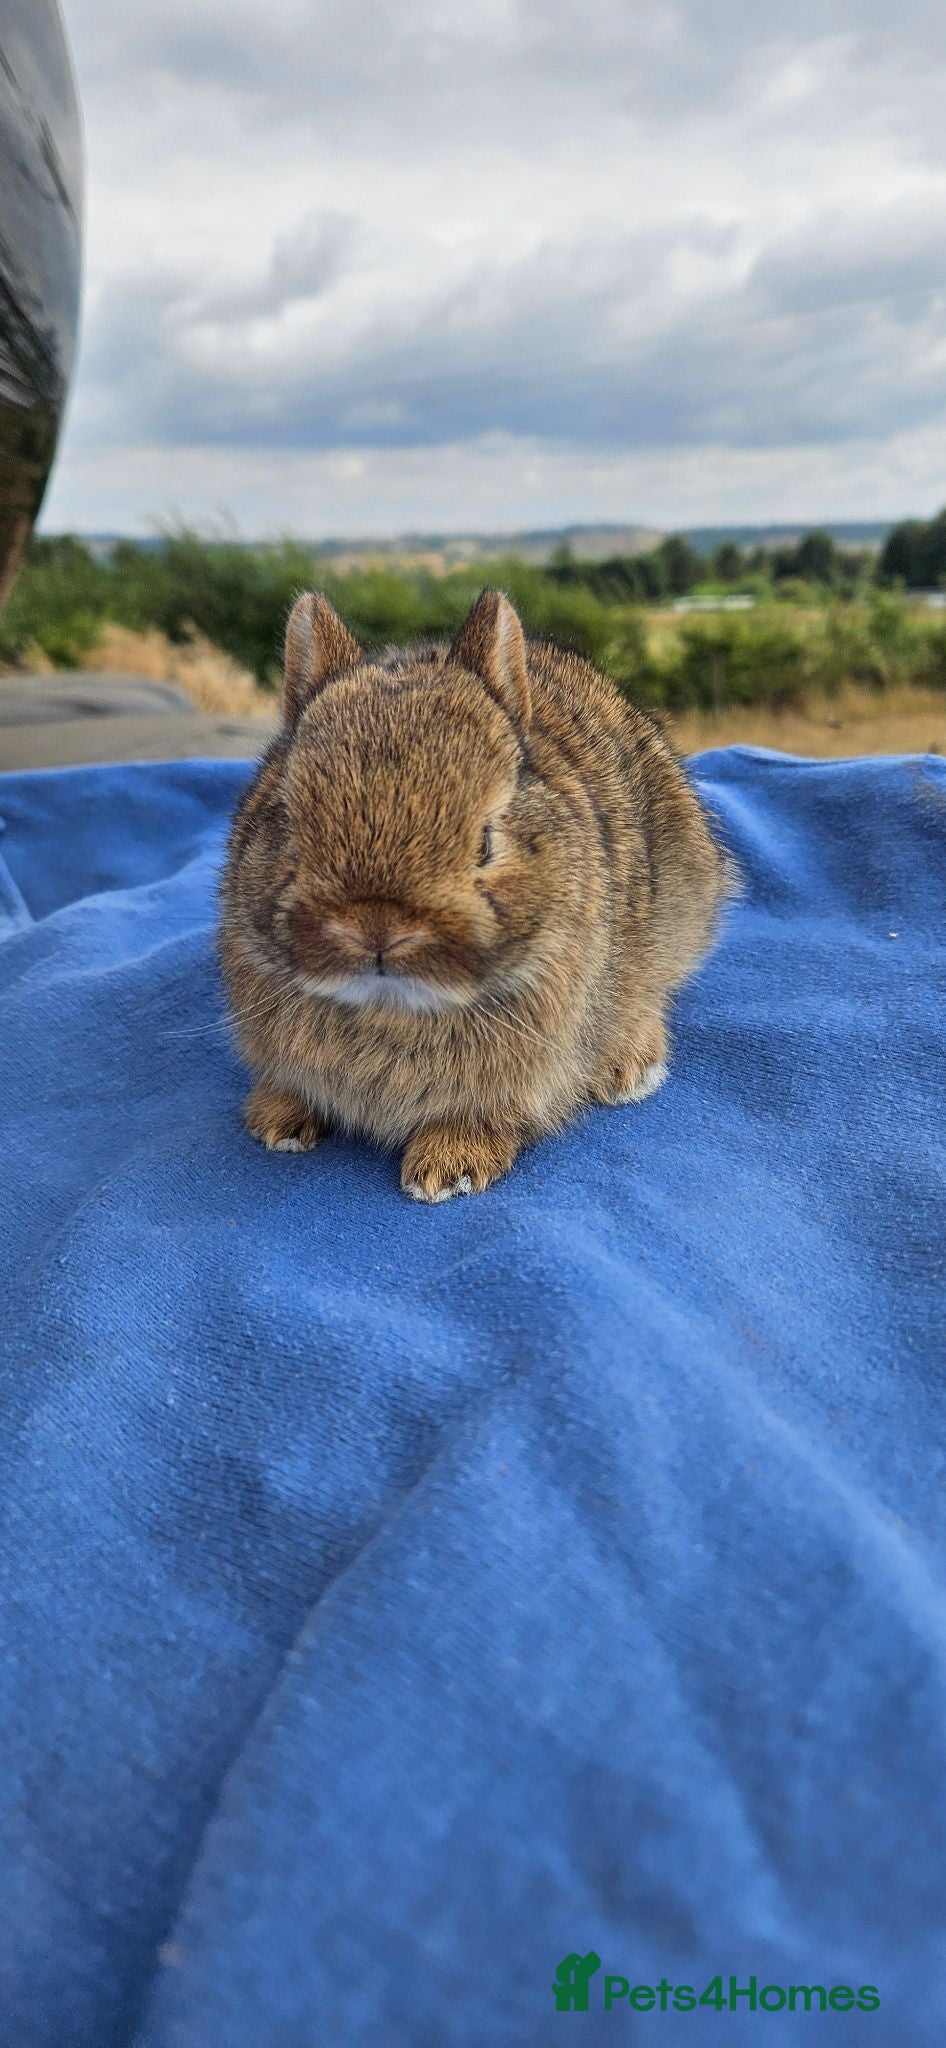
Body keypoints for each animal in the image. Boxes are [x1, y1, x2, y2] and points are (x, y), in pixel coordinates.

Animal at [220, 586, 737, 1201]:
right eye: (290, 829)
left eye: (486, 842)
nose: (377, 929)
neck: (392, 1009)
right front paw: (278, 1123)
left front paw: (447, 1170)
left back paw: (628, 1069)